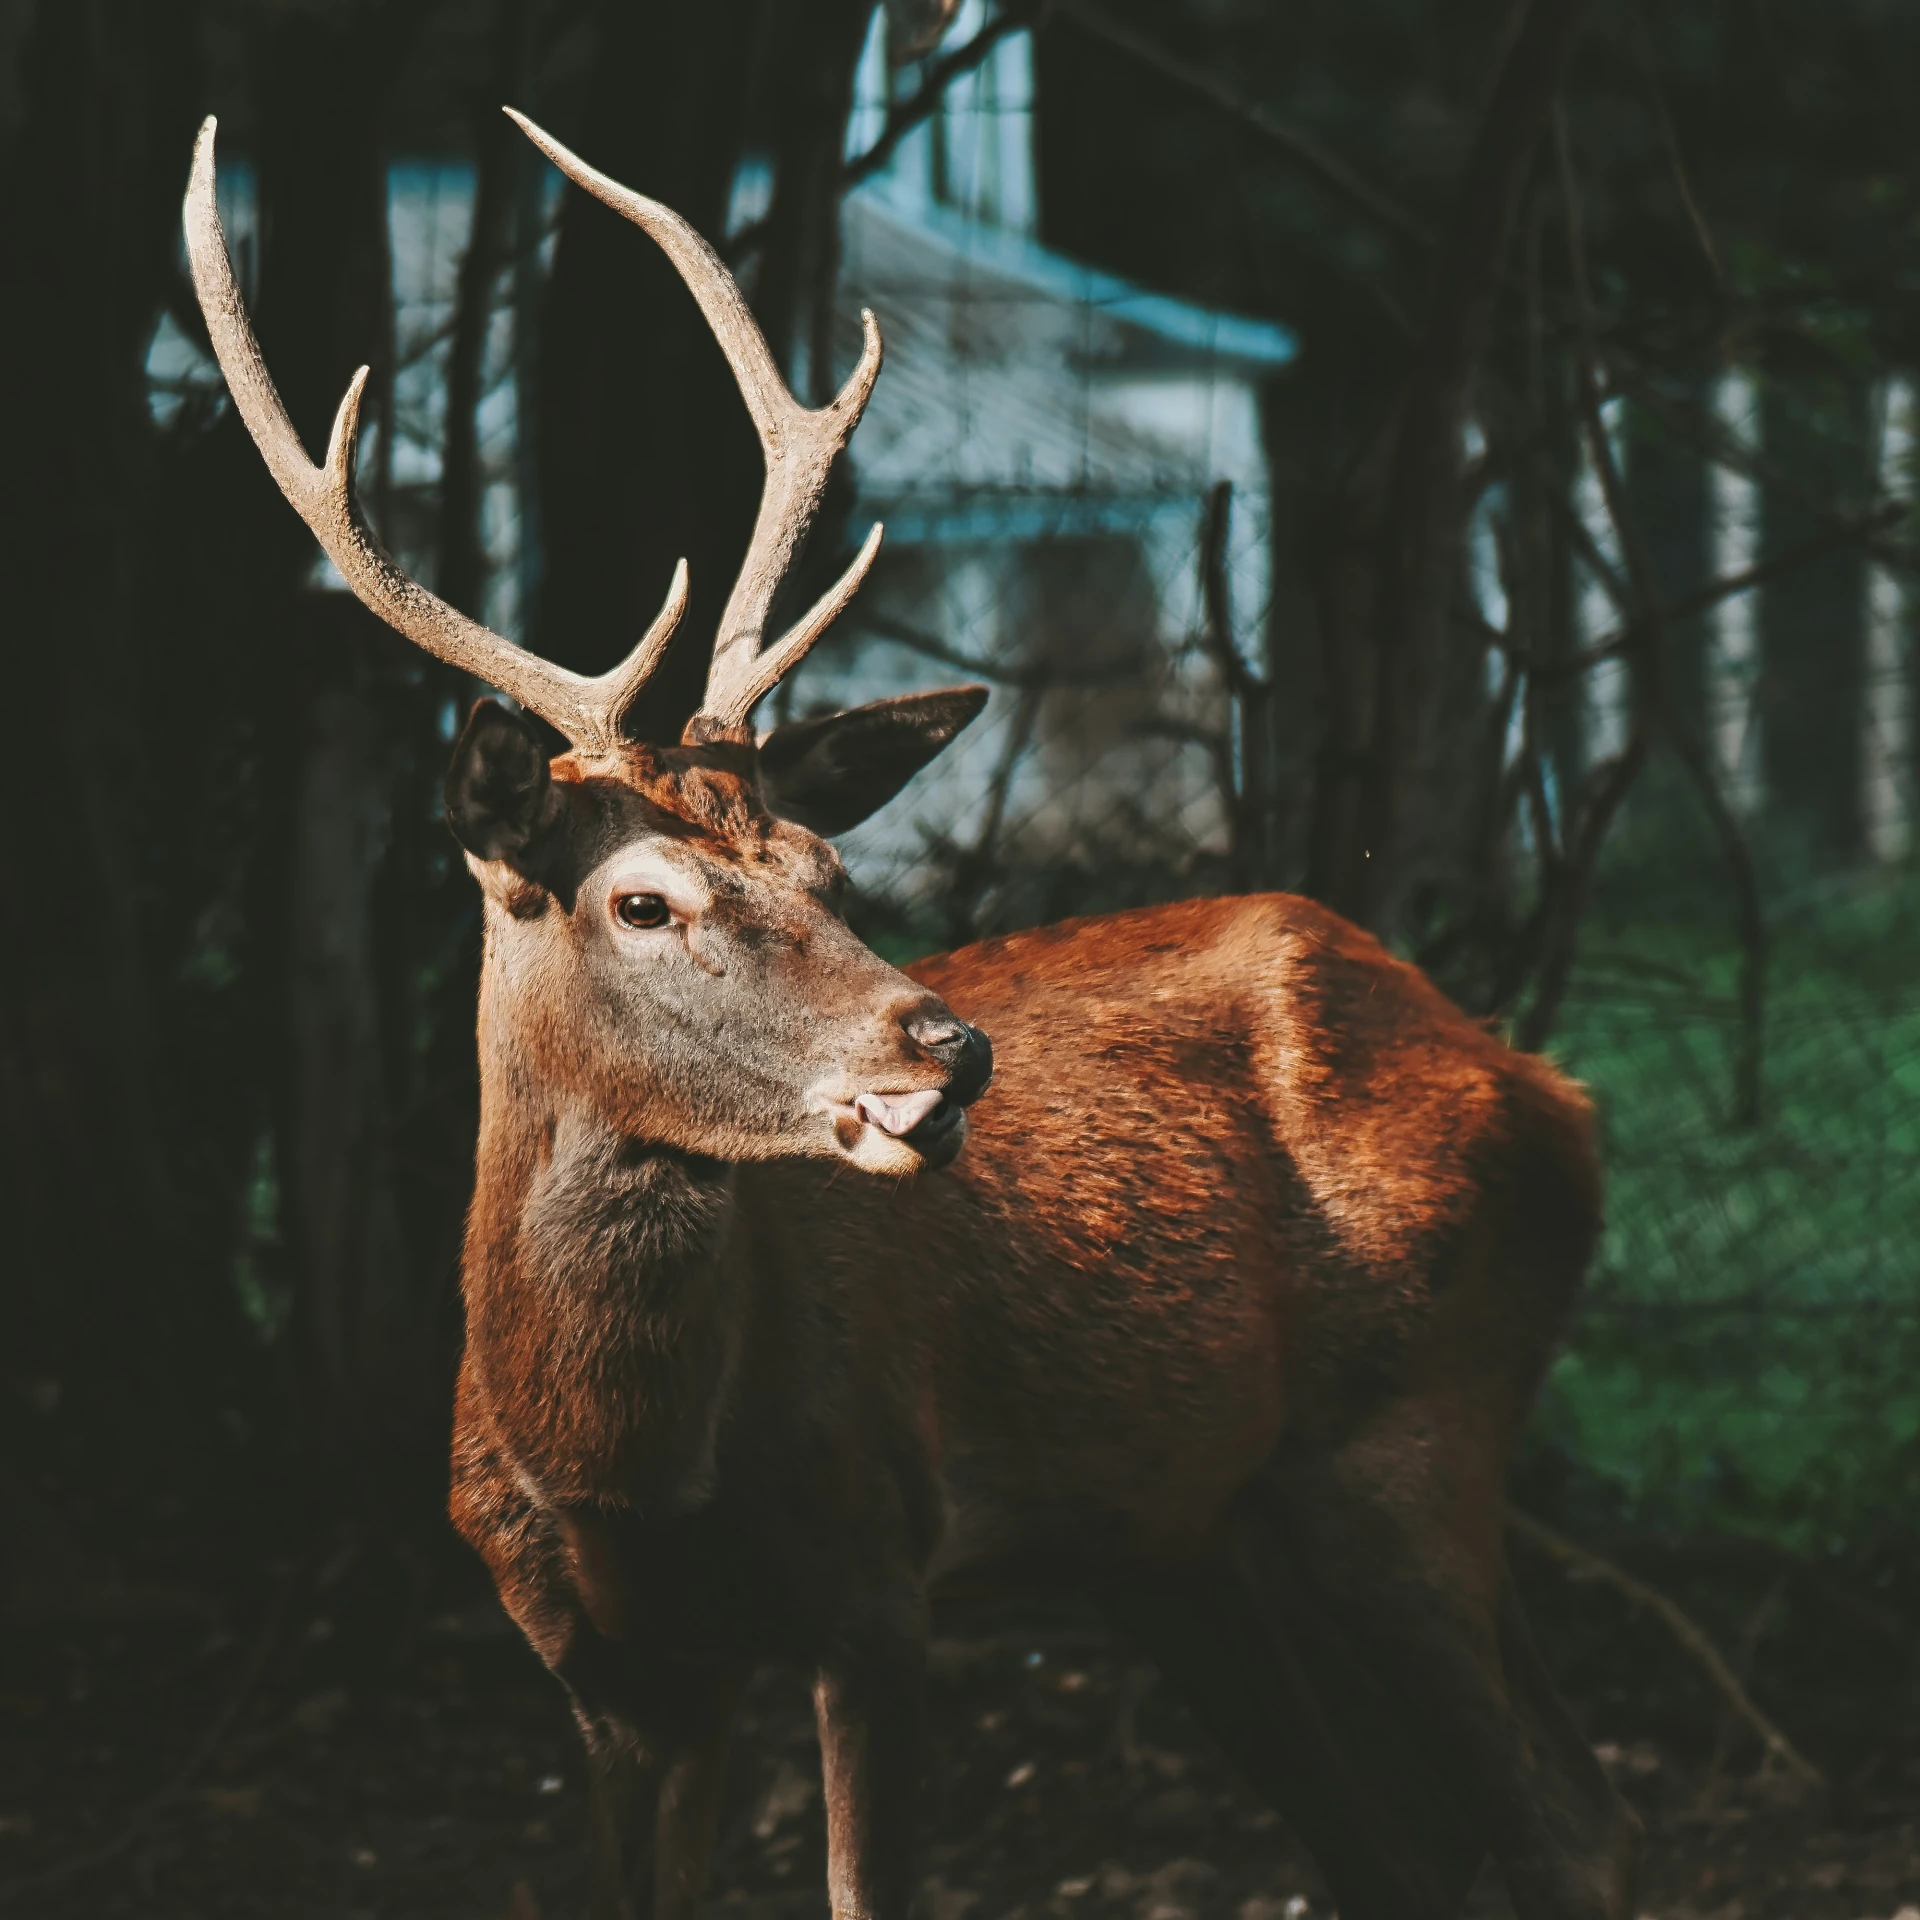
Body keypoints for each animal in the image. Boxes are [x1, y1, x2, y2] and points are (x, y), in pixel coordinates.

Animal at [187, 112, 1643, 1920]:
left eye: (828, 866)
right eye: (642, 900)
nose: (948, 1046)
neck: (618, 1462)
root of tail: (1551, 1088)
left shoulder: (874, 1570)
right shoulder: (599, 1668)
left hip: (1414, 1427)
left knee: (1571, 1830)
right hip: (1200, 1542)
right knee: (1405, 1848)